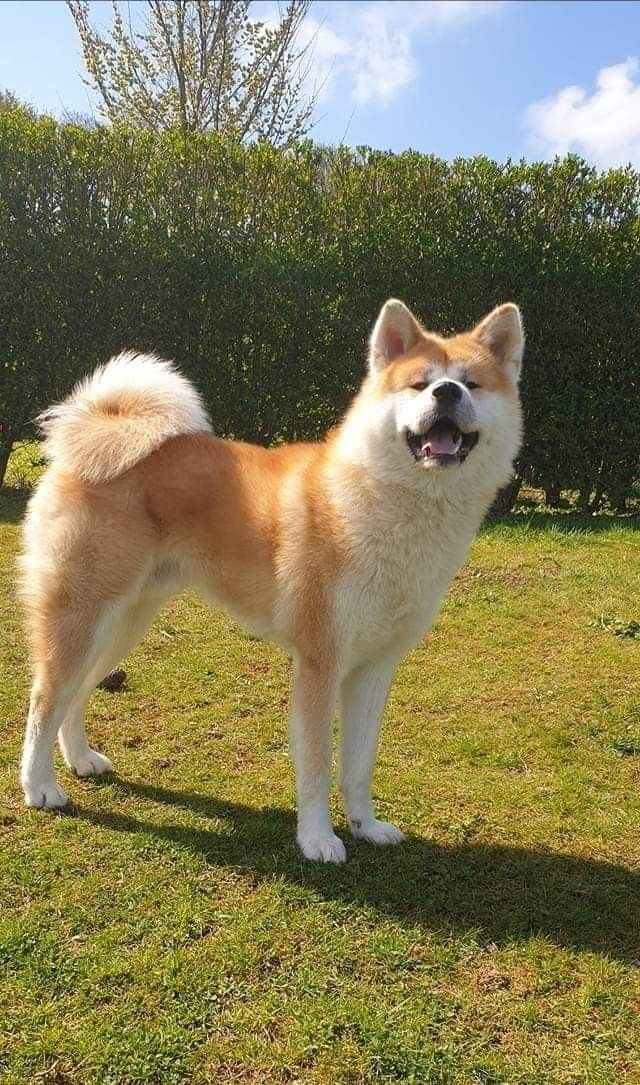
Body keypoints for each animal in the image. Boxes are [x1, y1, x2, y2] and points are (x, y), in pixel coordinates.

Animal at [17, 301, 525, 859]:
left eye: (471, 383)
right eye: (420, 384)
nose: (447, 393)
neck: (384, 507)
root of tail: (92, 434)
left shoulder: (374, 667)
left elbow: (359, 764)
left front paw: (366, 825)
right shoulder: (320, 663)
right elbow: (317, 764)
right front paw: (318, 838)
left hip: (124, 622)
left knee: (77, 692)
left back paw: (80, 760)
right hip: (83, 614)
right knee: (45, 699)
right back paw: (39, 786)